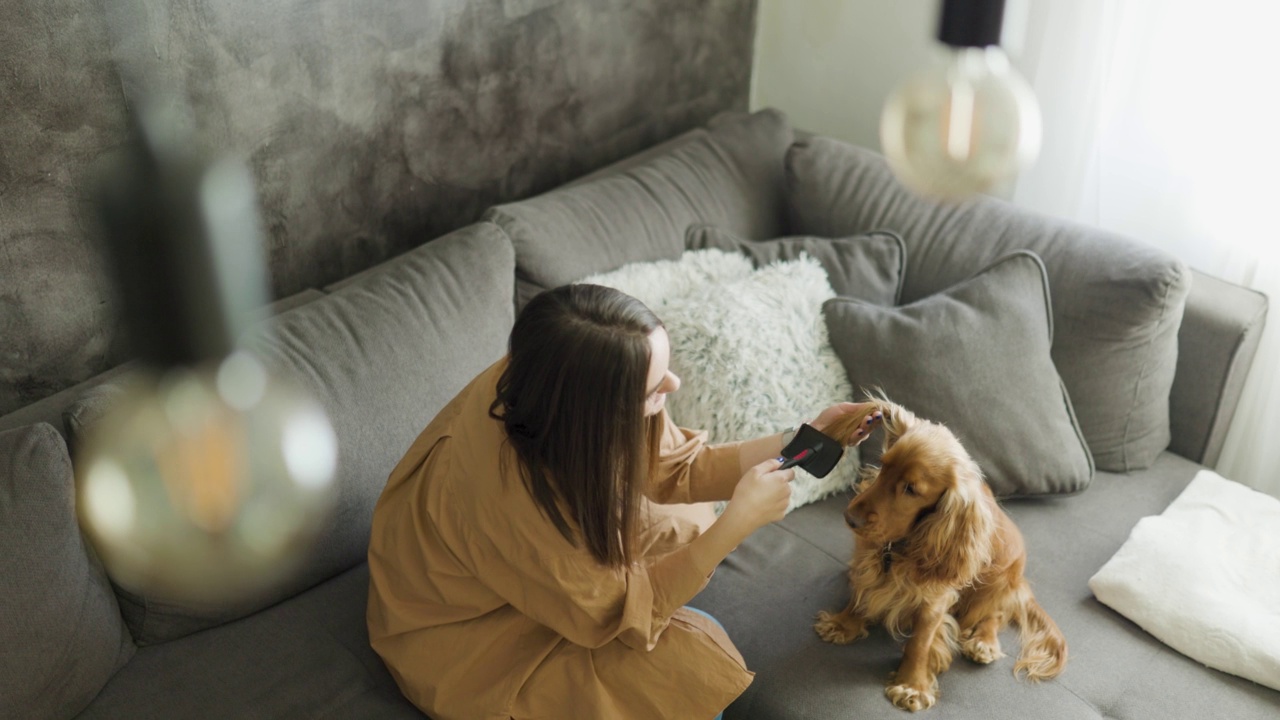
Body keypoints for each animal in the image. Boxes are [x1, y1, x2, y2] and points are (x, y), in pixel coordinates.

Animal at [808, 394, 1070, 707]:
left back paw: (983, 642)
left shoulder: (935, 598)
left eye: (910, 489)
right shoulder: (868, 560)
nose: (850, 519)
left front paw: (912, 686)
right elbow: (862, 594)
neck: (900, 544)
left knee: (995, 614)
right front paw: (843, 624)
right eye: (884, 466)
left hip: (998, 581)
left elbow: (921, 641)